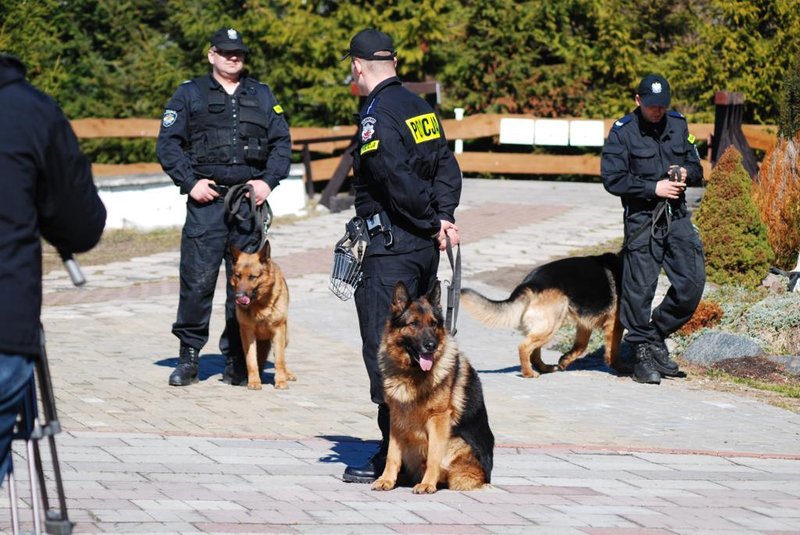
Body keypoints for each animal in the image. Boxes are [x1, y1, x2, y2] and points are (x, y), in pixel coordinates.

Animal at [230, 243, 296, 390]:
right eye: (238, 276)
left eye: (252, 277)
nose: (238, 297)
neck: (260, 305)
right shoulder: (247, 332)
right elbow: (251, 360)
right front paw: (254, 381)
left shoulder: (278, 331)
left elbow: (279, 360)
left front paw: (281, 381)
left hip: (285, 337)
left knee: (281, 357)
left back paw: (287, 374)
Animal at [374, 282, 494, 496]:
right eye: (413, 324)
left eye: (433, 324)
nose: (431, 345)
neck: (412, 373)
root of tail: (486, 476)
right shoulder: (396, 418)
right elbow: (392, 455)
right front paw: (386, 479)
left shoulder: (438, 419)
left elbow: (433, 457)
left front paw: (427, 484)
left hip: (455, 441)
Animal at [460, 253, 620, 378]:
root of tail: (529, 283)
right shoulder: (613, 325)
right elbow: (613, 349)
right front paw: (620, 368)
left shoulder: (584, 323)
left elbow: (581, 345)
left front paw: (565, 360)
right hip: (551, 325)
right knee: (524, 347)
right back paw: (528, 373)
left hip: (545, 326)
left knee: (534, 352)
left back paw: (544, 368)